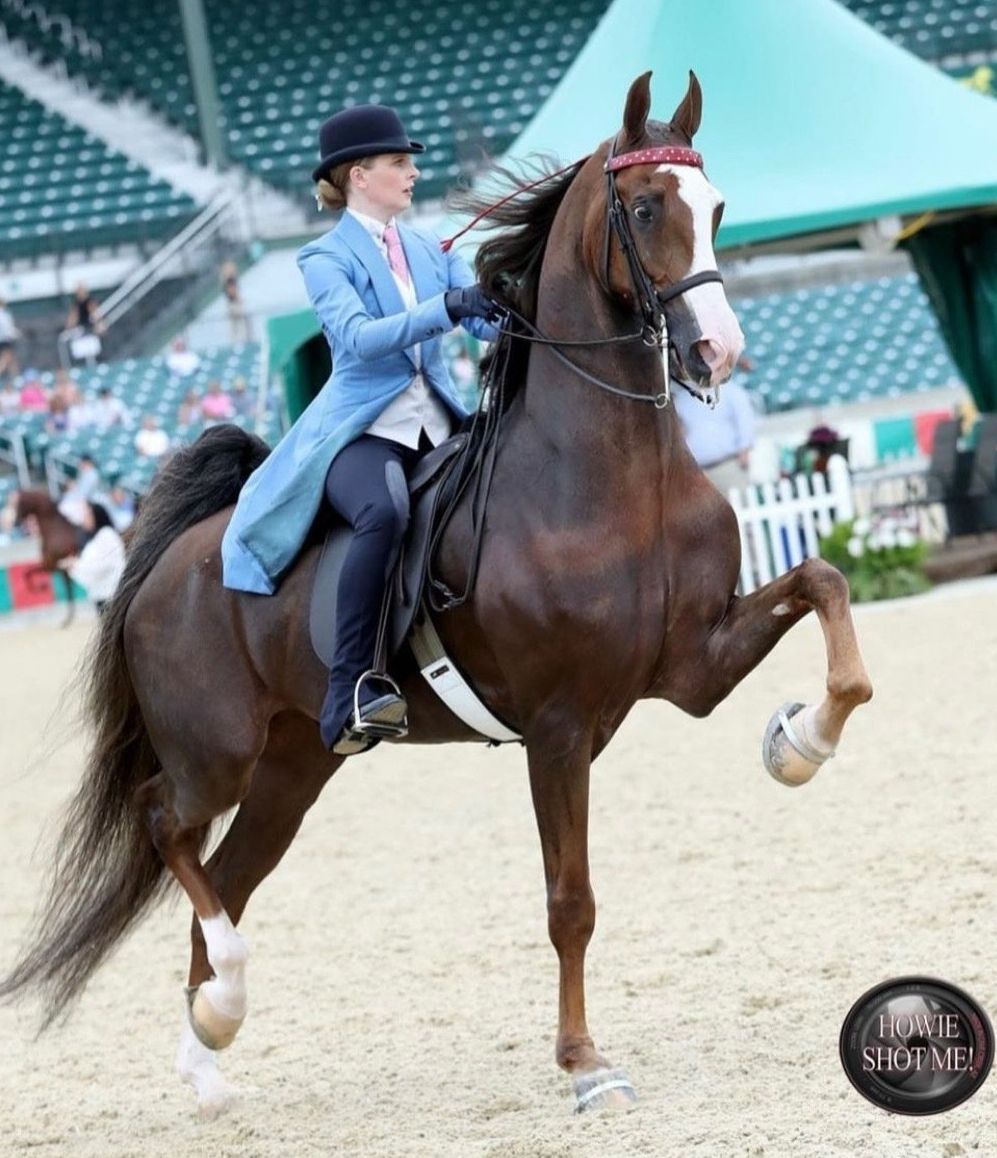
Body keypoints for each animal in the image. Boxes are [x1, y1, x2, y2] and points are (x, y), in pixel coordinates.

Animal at [0, 74, 866, 1120]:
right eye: (645, 209)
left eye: (719, 208)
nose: (716, 354)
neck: (614, 477)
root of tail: (166, 565)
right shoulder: (557, 725)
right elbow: (569, 903)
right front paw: (585, 1065)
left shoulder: (690, 666)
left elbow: (825, 587)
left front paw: (799, 741)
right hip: (216, 756)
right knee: (167, 825)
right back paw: (223, 1005)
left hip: (294, 769)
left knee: (225, 878)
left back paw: (209, 1047)